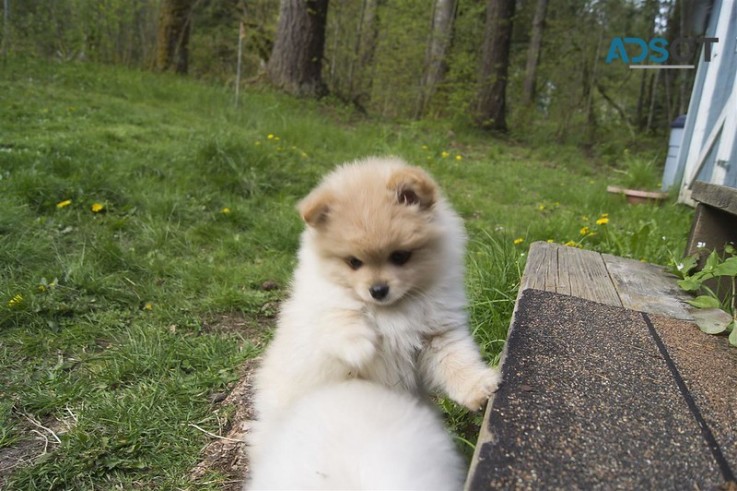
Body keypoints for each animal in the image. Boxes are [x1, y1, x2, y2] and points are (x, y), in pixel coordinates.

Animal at [249, 158, 500, 454]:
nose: (378, 290)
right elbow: (340, 316)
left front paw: (479, 386)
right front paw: (360, 346)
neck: (392, 310)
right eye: (354, 262)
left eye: (400, 256)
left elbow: (457, 362)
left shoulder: (437, 334)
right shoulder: (323, 312)